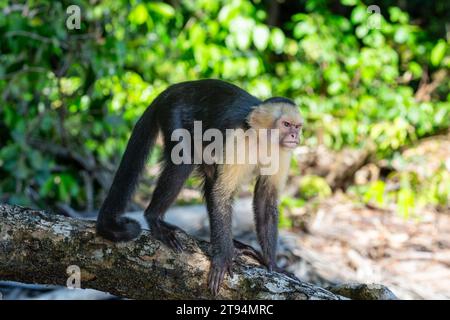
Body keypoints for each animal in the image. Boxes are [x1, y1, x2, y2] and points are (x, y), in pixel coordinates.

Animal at [96, 79, 304, 296]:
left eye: (297, 126)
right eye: (286, 124)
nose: (294, 135)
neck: (261, 140)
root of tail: (171, 90)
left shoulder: (282, 152)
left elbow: (265, 199)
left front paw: (273, 263)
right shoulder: (239, 139)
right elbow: (222, 194)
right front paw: (223, 259)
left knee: (210, 173)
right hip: (174, 113)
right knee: (183, 163)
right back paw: (154, 219)